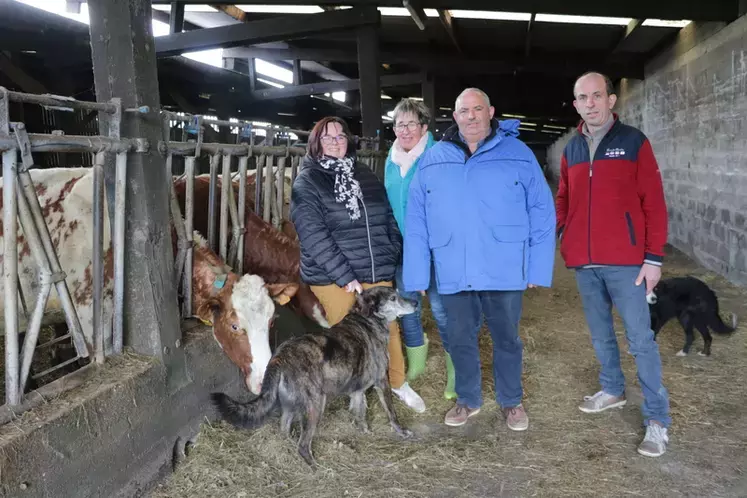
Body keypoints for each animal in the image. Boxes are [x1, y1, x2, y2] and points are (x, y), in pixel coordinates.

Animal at [213, 284, 418, 466]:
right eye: (393, 298)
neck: (366, 319)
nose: (416, 303)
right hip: (316, 405)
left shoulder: (357, 391)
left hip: (292, 405)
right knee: (303, 445)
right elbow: (391, 412)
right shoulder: (382, 381)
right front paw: (402, 431)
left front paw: (365, 432)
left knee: (284, 428)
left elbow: (360, 414)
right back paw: (316, 467)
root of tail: (280, 356)